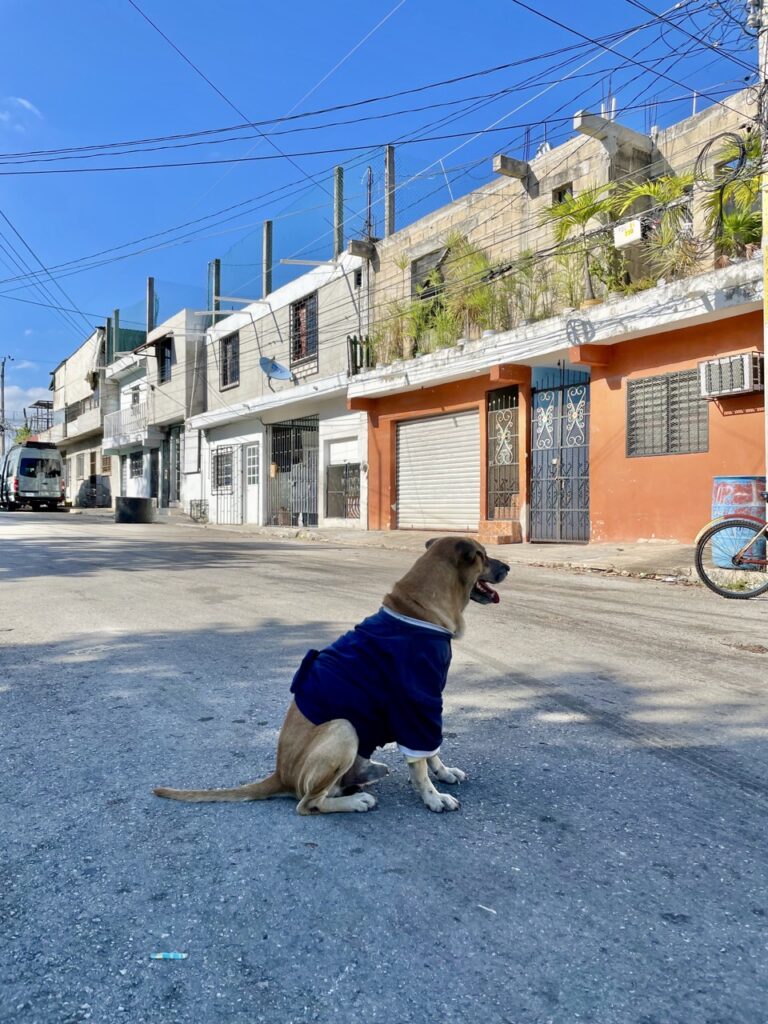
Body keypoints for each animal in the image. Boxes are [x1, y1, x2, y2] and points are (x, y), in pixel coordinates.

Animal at [154, 537, 509, 814]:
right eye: (484, 555)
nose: (507, 568)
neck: (417, 607)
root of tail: (280, 774)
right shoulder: (418, 705)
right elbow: (421, 760)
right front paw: (433, 797)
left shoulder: (425, 707)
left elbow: (432, 752)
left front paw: (444, 773)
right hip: (343, 729)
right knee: (308, 803)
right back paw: (355, 801)